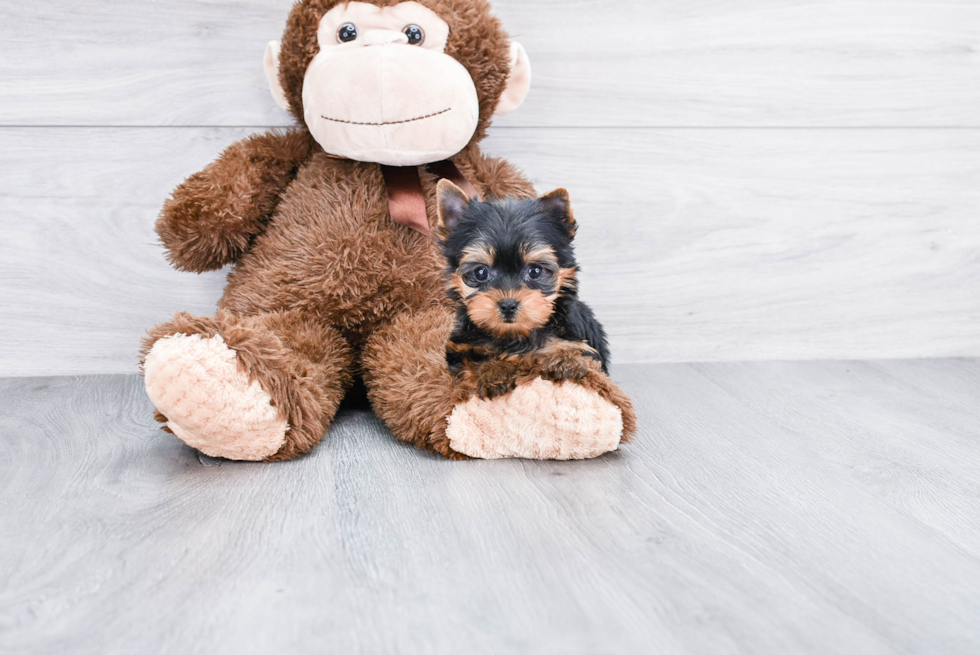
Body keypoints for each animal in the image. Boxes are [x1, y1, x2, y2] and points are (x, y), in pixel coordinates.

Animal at [434, 179, 608, 400]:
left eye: (535, 271)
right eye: (481, 273)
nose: (508, 305)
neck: (515, 335)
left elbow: (566, 350)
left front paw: (566, 361)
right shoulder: (461, 348)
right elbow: (473, 360)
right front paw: (493, 372)